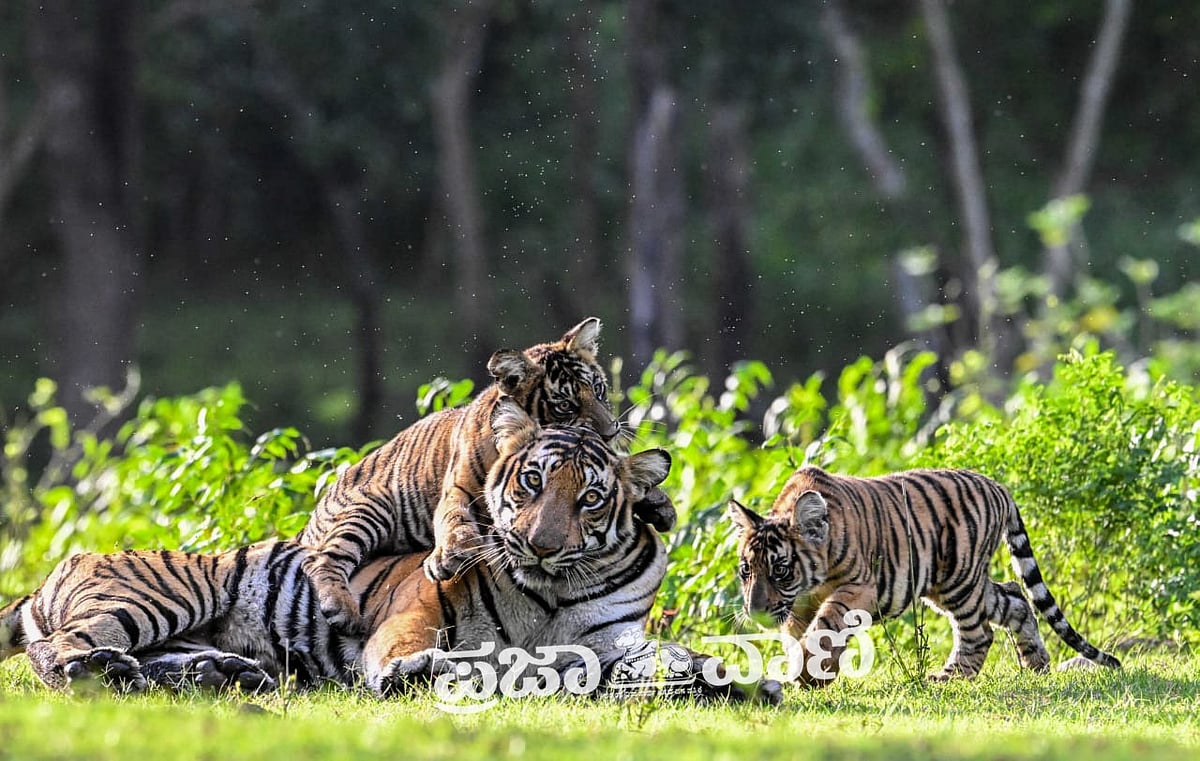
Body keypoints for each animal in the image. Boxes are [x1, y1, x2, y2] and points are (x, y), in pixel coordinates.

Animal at [1, 401, 767, 703]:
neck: (556, 587)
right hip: (165, 595)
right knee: (57, 651)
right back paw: (92, 667)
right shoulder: (419, 607)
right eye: (532, 480)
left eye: (589, 499)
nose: (539, 543)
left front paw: (730, 676)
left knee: (154, 662)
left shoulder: (611, 640)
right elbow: (413, 648)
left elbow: (664, 656)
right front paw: (418, 670)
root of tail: (59, 567)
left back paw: (221, 673)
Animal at [298, 317, 675, 635]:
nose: (611, 432)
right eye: (565, 405)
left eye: (598, 390)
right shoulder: (459, 487)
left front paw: (661, 506)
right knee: (322, 559)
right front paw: (450, 555)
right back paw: (342, 611)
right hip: (368, 507)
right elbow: (453, 519)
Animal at [727, 466, 1121, 686]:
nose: (755, 610)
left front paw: (810, 674)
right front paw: (811, 674)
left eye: (780, 570)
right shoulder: (797, 607)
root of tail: (999, 487)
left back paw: (948, 678)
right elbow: (799, 637)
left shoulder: (858, 587)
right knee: (1015, 598)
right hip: (958, 583)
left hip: (958, 580)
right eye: (747, 570)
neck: (810, 583)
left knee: (980, 632)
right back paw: (1035, 664)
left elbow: (826, 627)